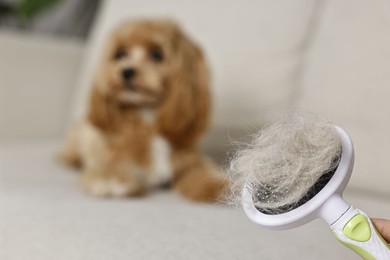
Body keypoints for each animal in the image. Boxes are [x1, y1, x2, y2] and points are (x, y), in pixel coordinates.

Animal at [59, 19, 227, 202]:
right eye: (121, 54)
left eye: (156, 55)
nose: (126, 71)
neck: (148, 117)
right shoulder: (111, 157)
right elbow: (108, 170)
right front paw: (112, 181)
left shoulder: (189, 161)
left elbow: (201, 171)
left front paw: (216, 185)